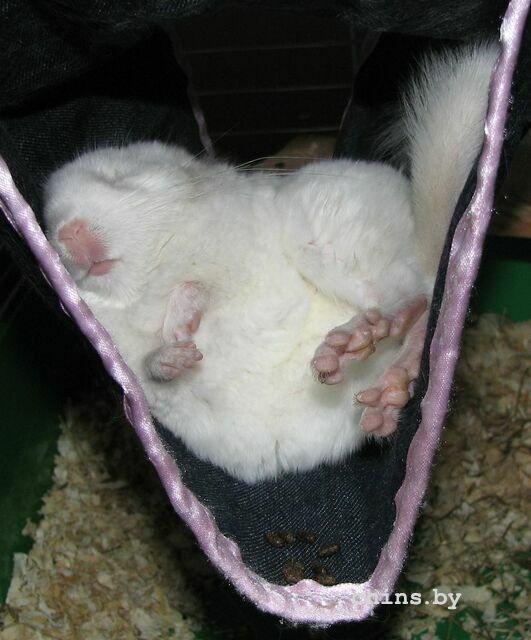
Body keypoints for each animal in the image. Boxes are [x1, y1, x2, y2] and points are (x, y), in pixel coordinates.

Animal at [43, 43, 498, 482]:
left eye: (119, 178)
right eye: (47, 226)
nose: (69, 234)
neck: (143, 289)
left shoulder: (230, 259)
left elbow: (200, 288)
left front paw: (183, 316)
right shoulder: (131, 371)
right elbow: (150, 364)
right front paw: (178, 352)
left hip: (326, 239)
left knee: (410, 298)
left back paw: (357, 339)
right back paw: (388, 387)